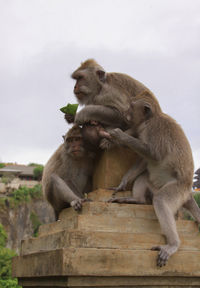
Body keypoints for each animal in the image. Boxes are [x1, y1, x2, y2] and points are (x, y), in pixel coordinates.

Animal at [103, 95, 200, 266]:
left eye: (131, 106)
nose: (125, 112)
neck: (147, 121)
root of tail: (188, 192)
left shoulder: (155, 129)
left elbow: (154, 154)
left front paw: (119, 135)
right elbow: (144, 160)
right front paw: (123, 183)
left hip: (177, 190)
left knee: (161, 200)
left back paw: (173, 244)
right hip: (158, 185)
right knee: (144, 177)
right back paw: (137, 199)